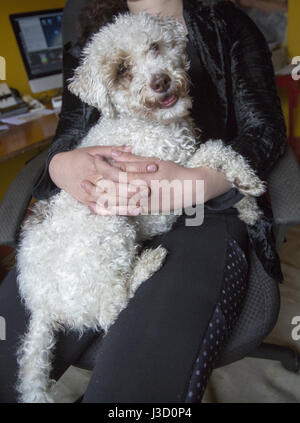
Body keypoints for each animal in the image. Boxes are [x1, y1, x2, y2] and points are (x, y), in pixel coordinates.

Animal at [15, 12, 262, 404]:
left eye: (155, 47)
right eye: (121, 70)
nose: (160, 81)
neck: (146, 124)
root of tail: (40, 307)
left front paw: (250, 203)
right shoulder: (169, 179)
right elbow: (216, 151)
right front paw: (245, 177)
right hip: (109, 226)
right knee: (110, 308)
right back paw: (147, 264)